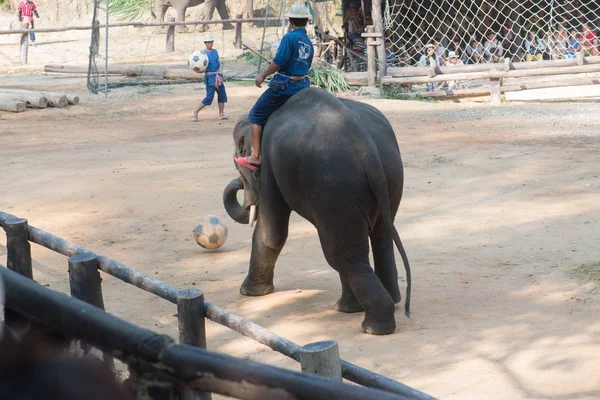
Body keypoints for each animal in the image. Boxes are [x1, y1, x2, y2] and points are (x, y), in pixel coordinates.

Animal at [224, 87, 412, 334]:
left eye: (238, 164)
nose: (238, 182)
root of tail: (365, 145)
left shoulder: (269, 167)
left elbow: (272, 234)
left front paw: (248, 293)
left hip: (334, 186)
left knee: (341, 254)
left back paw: (372, 326)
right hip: (388, 178)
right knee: (378, 237)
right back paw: (372, 303)